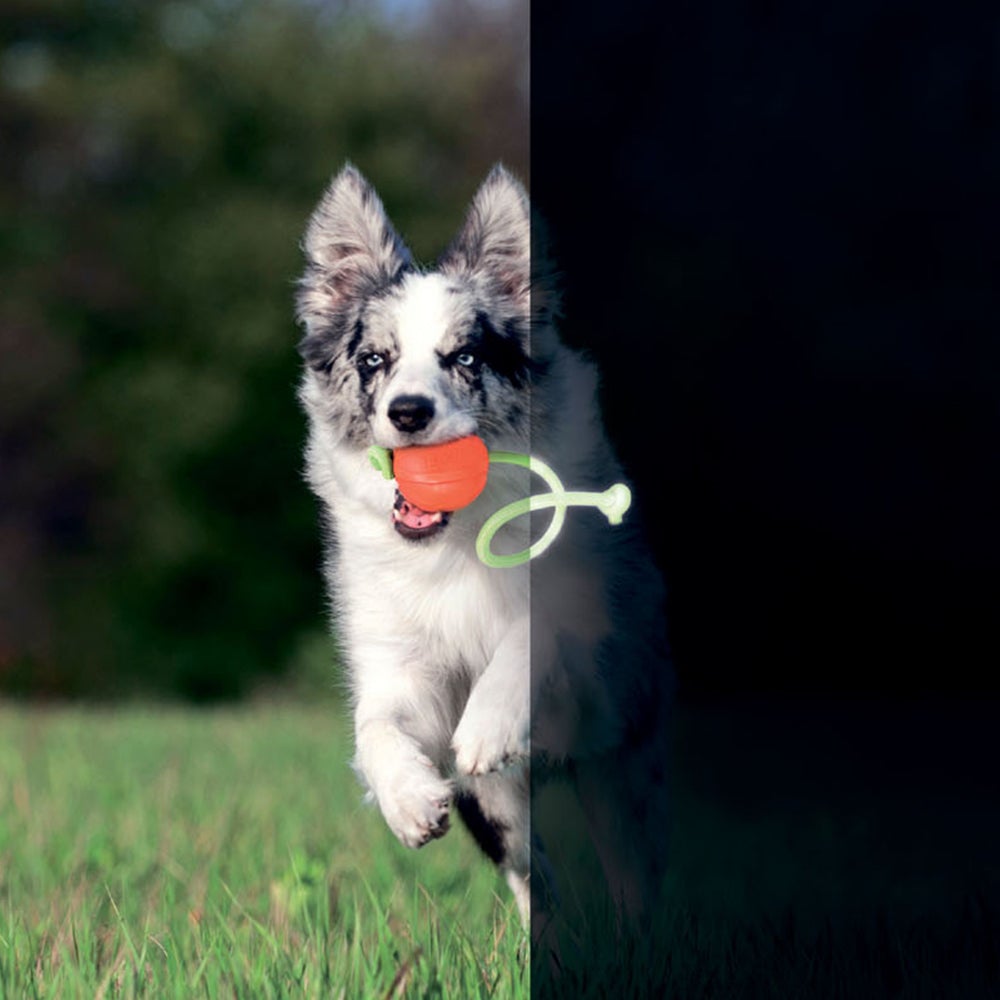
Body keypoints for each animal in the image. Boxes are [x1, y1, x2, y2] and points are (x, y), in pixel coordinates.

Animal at [296, 164, 672, 928]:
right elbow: (375, 725)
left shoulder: (586, 626)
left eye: (464, 357)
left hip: (619, 751)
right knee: (537, 877)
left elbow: (534, 632)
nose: (408, 412)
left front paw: (489, 723)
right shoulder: (400, 661)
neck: (460, 541)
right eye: (374, 360)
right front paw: (409, 800)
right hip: (503, 809)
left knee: (634, 866)